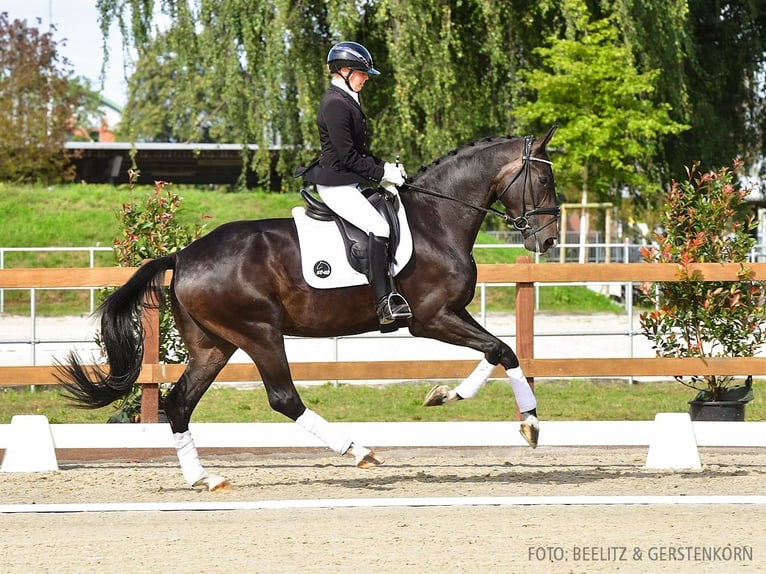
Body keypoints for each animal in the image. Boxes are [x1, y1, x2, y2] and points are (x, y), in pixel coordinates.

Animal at [54, 128, 560, 492]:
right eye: (545, 179)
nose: (550, 241)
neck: (436, 221)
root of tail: (183, 255)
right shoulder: (430, 319)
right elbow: (500, 350)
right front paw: (528, 423)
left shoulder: (450, 312)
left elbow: (499, 351)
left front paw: (457, 399)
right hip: (259, 333)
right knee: (283, 398)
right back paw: (358, 450)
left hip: (213, 344)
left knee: (180, 403)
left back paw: (204, 478)